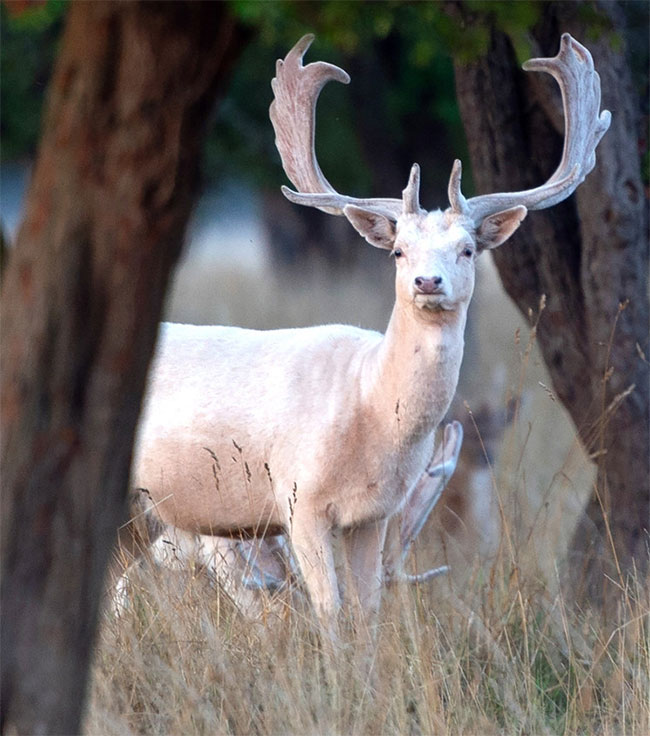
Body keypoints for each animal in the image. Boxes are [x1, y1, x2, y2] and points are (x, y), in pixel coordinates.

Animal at [121, 33, 610, 637]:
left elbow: (368, 613)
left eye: (467, 250)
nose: (428, 281)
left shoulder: (374, 515)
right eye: (399, 251)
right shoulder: (297, 499)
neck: (368, 407)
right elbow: (330, 612)